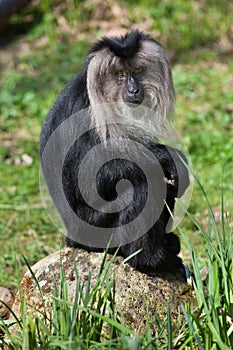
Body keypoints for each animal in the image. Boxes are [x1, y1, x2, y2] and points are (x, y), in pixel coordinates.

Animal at [39, 31, 189, 280]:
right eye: (119, 75)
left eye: (136, 71)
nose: (134, 90)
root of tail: (72, 238)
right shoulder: (81, 111)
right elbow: (90, 179)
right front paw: (168, 155)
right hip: (94, 230)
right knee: (143, 182)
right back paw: (150, 260)